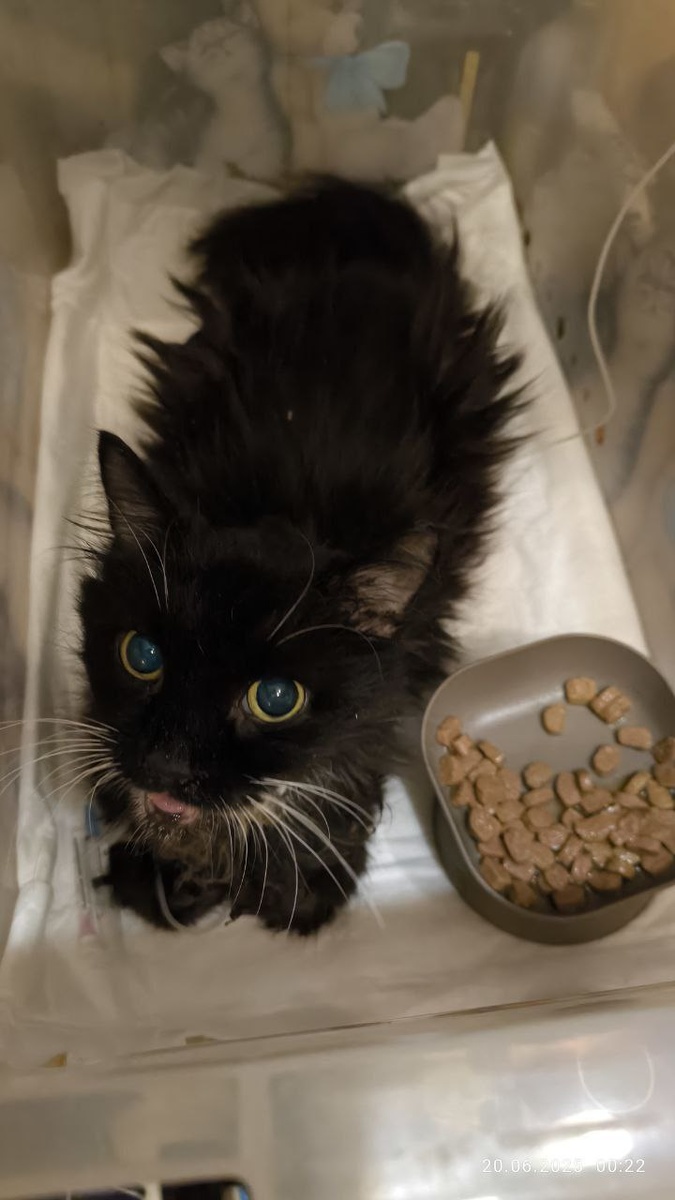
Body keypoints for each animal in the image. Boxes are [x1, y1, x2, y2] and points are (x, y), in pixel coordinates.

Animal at [80, 178, 521, 934]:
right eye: (142, 656)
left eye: (276, 699)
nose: (165, 766)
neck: (284, 511)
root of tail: (352, 239)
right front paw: (163, 874)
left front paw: (289, 883)